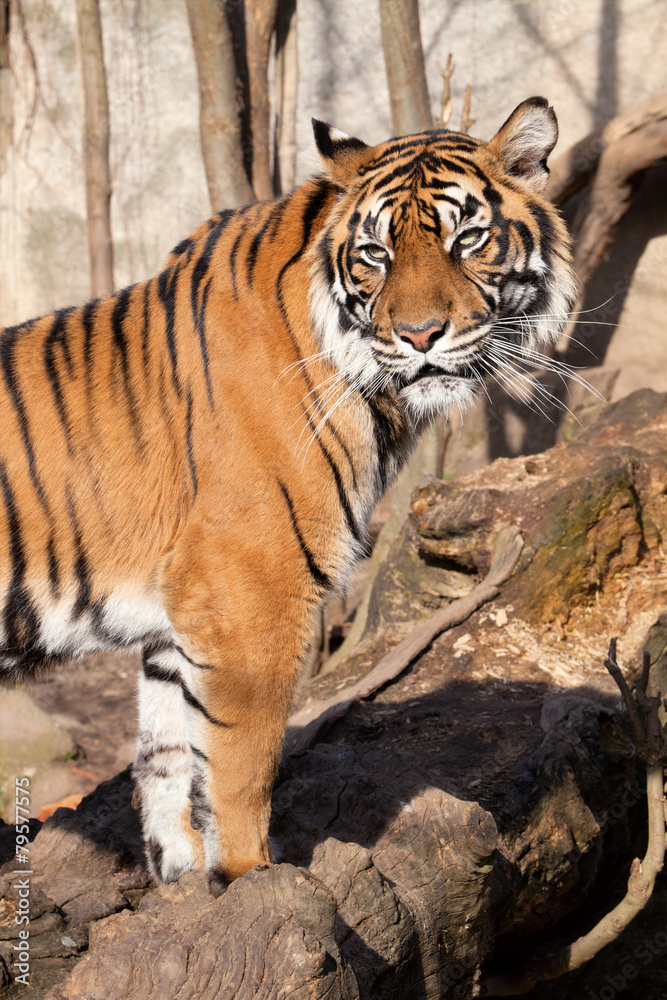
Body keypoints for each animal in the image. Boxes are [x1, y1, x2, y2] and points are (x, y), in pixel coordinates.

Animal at [0, 97, 576, 894]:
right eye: (375, 254)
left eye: (468, 238)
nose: (419, 335)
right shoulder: (247, 587)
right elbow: (240, 763)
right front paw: (249, 877)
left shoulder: (174, 615)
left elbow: (167, 757)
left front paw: (182, 875)